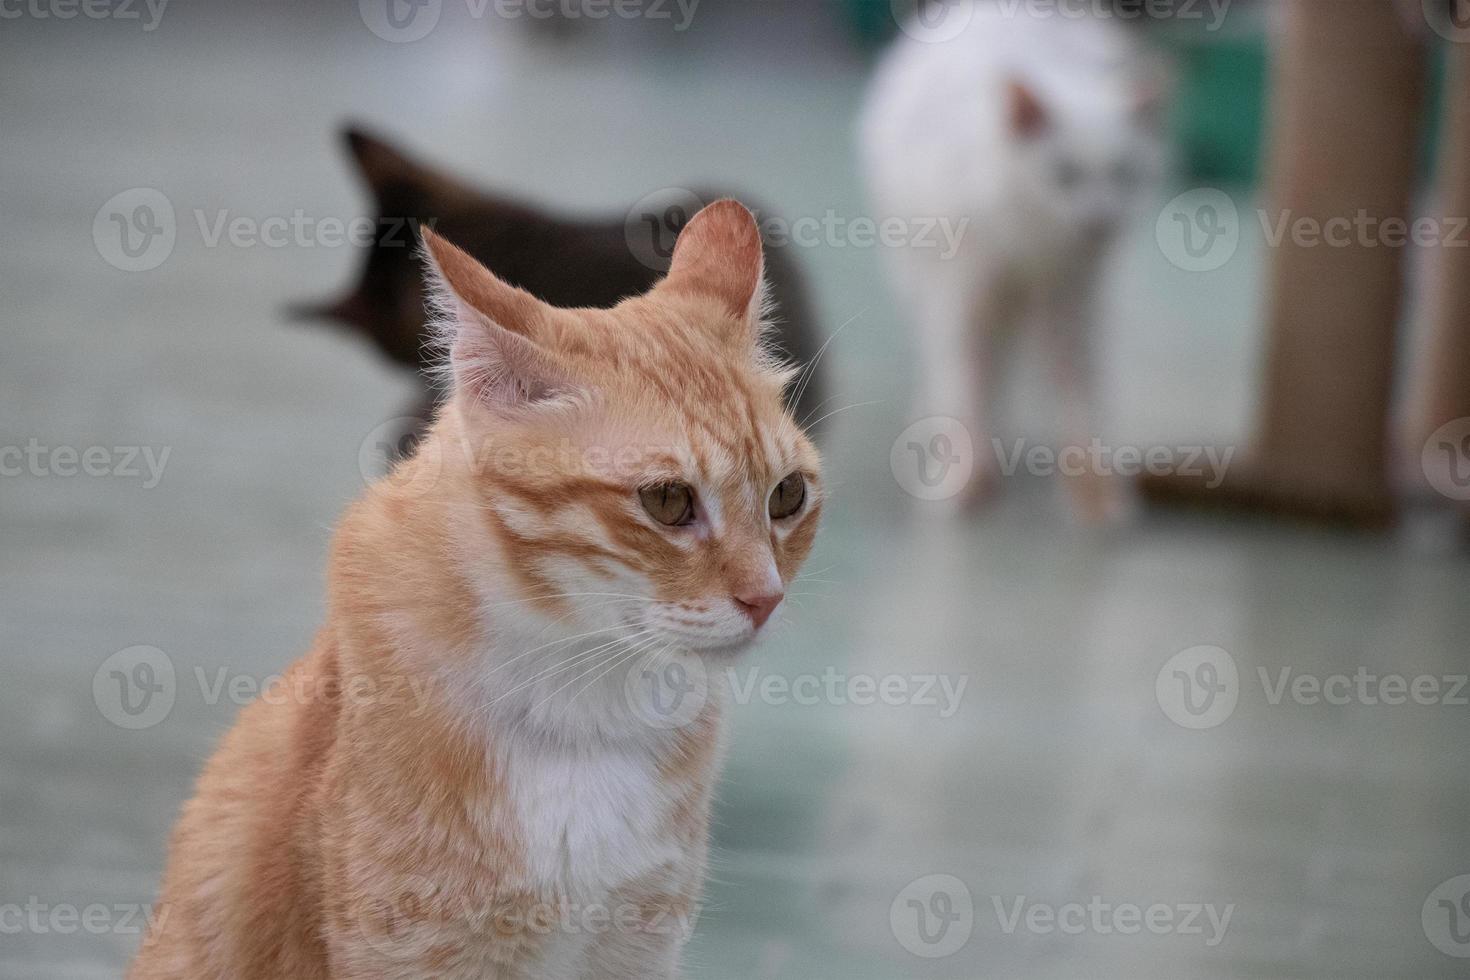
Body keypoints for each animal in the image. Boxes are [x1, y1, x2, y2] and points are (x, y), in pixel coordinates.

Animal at [858, 0, 1158, 525]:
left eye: (1122, 174)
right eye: (1064, 175)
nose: (1100, 222)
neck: (1028, 247)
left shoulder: (1070, 302)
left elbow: (1079, 397)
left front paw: (1094, 494)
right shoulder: (963, 295)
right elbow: (966, 384)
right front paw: (962, 484)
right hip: (926, 283)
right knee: (954, 368)